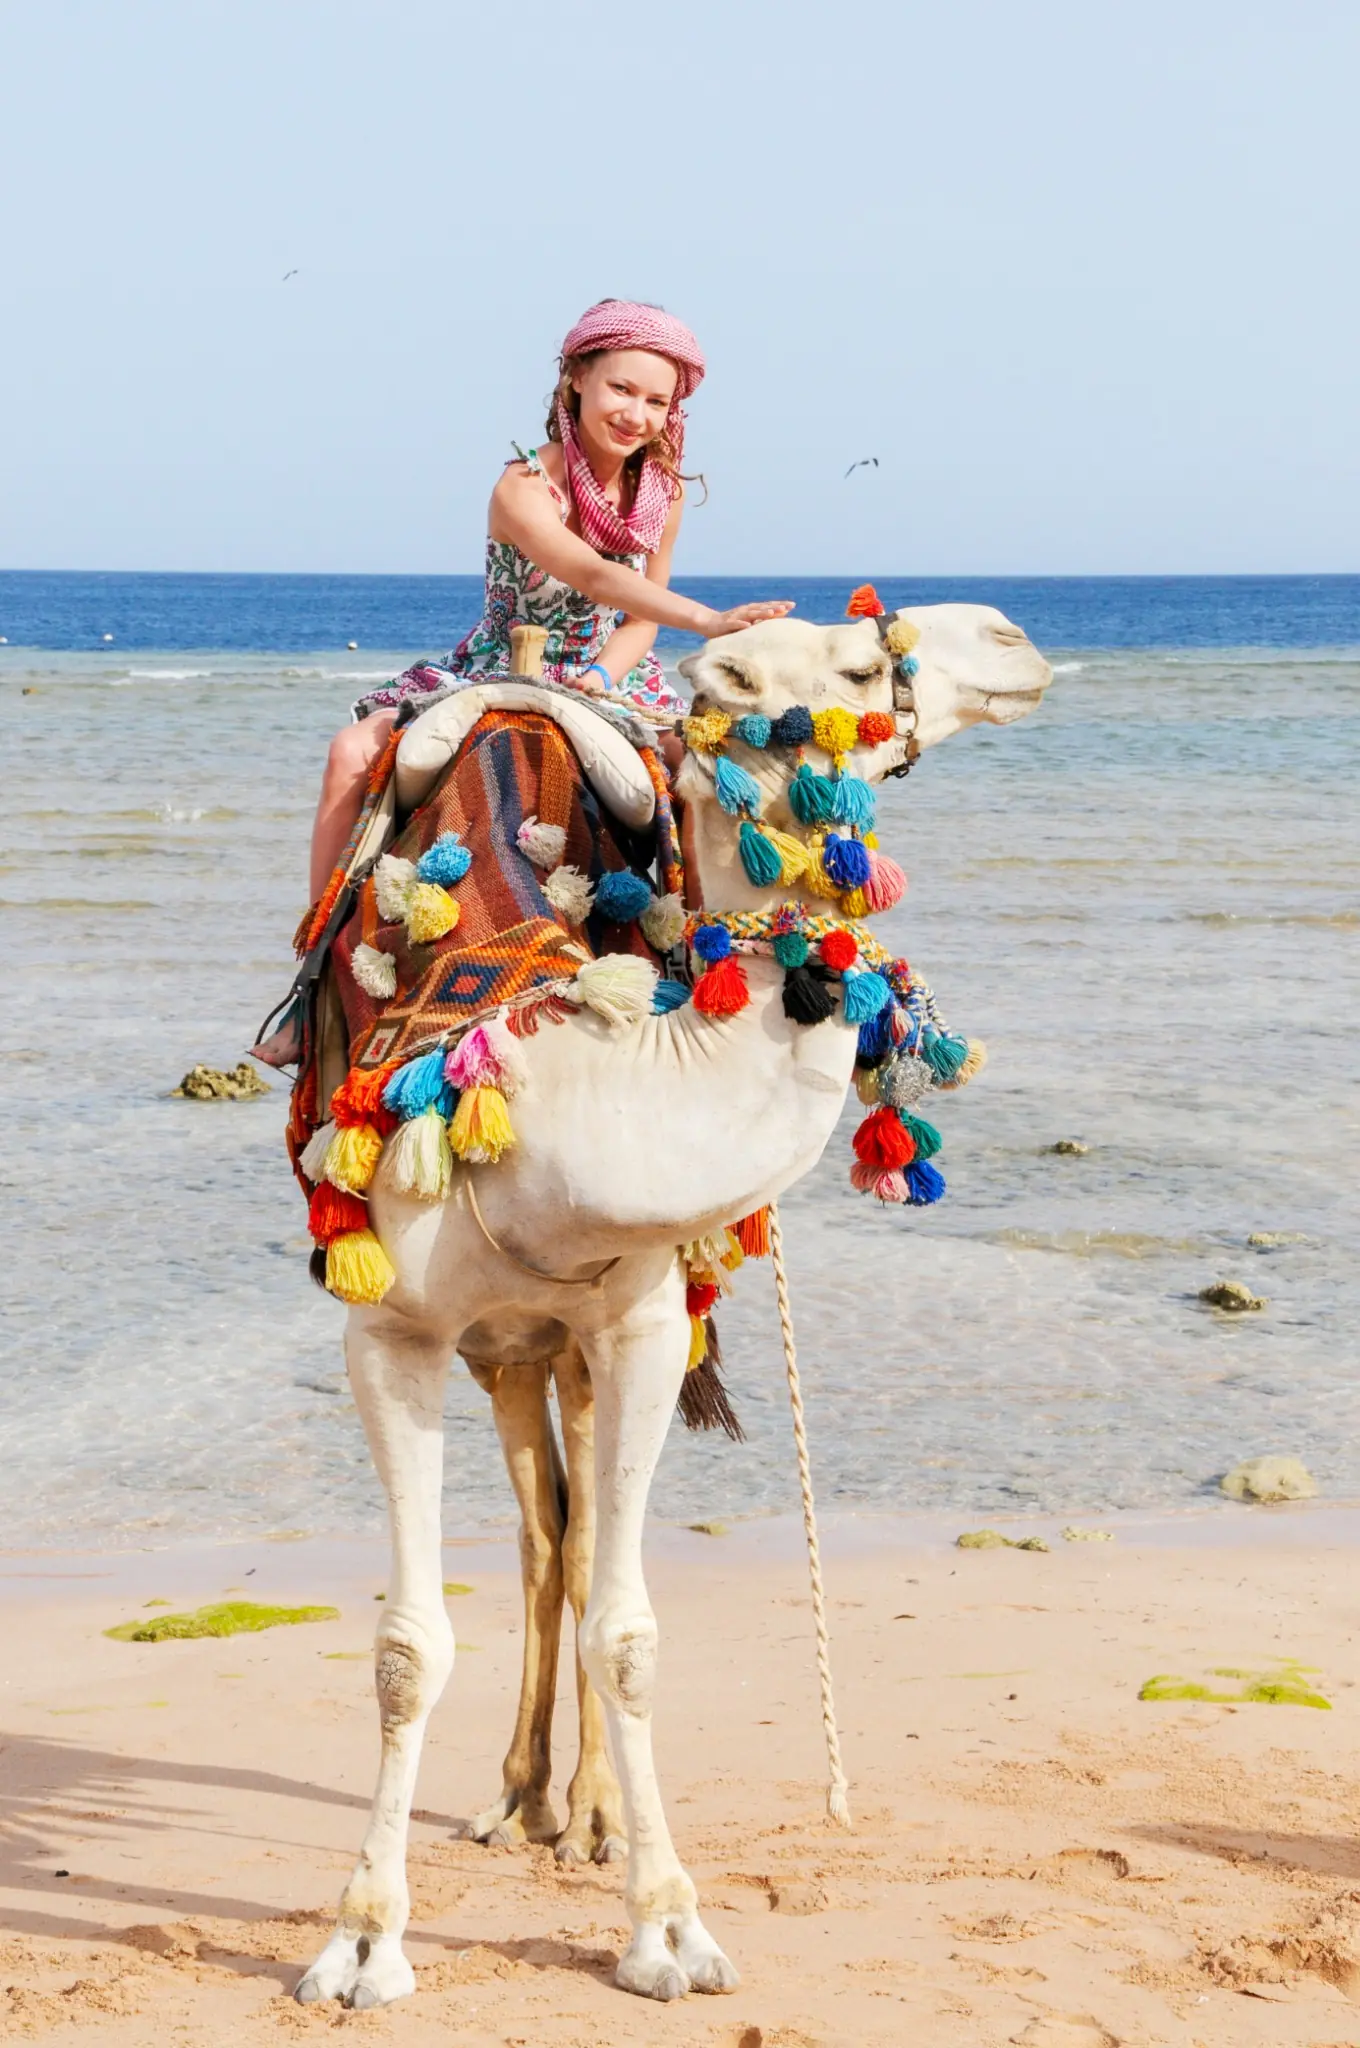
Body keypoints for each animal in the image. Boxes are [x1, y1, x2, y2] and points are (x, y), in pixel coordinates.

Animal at [294, 602, 1052, 2011]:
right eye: (856, 666)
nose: (1011, 636)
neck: (558, 1094)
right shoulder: (393, 1336)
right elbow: (407, 1647)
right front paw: (363, 1938)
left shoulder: (639, 1327)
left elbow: (630, 1628)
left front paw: (667, 1927)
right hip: (499, 1348)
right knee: (544, 1534)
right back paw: (520, 1799)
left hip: (564, 1344)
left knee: (578, 1537)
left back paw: (581, 1814)